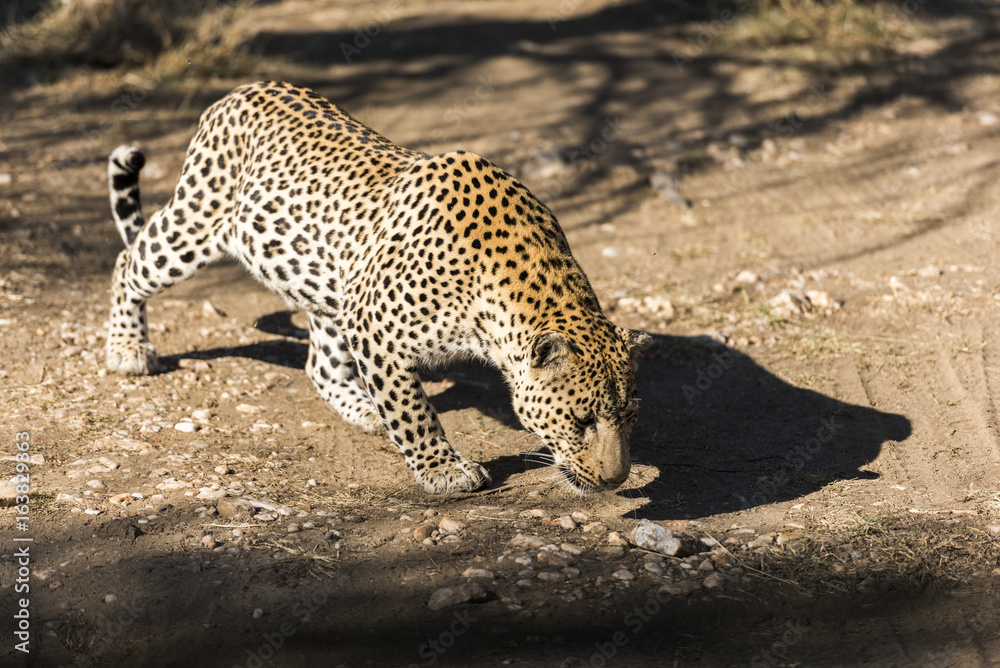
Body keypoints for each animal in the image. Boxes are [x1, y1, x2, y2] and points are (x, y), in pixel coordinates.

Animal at [105, 81, 650, 494]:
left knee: (320, 364)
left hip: (330, 286)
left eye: (629, 416)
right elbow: (412, 410)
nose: (616, 480)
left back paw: (364, 409)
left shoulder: (358, 314)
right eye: (582, 420)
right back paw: (126, 349)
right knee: (128, 262)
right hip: (194, 225)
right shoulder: (375, 330)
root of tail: (240, 90)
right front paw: (444, 471)